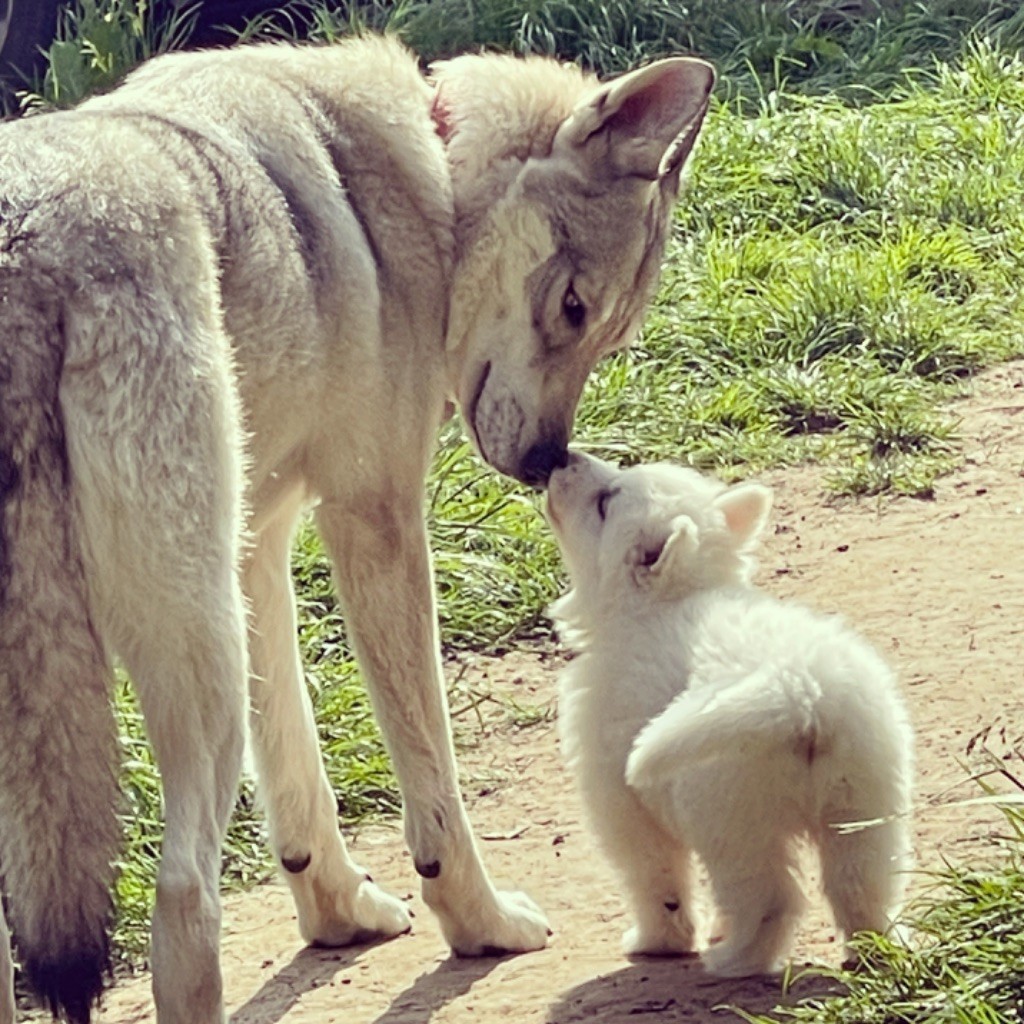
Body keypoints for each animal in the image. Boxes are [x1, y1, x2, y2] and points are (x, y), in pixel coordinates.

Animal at [548, 454, 917, 974]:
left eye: (605, 502)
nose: (561, 458)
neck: (662, 603)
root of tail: (797, 688)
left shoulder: (619, 803)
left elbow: (656, 881)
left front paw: (656, 943)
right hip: (864, 803)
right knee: (862, 886)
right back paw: (873, 951)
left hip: (730, 819)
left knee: (770, 899)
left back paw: (734, 959)